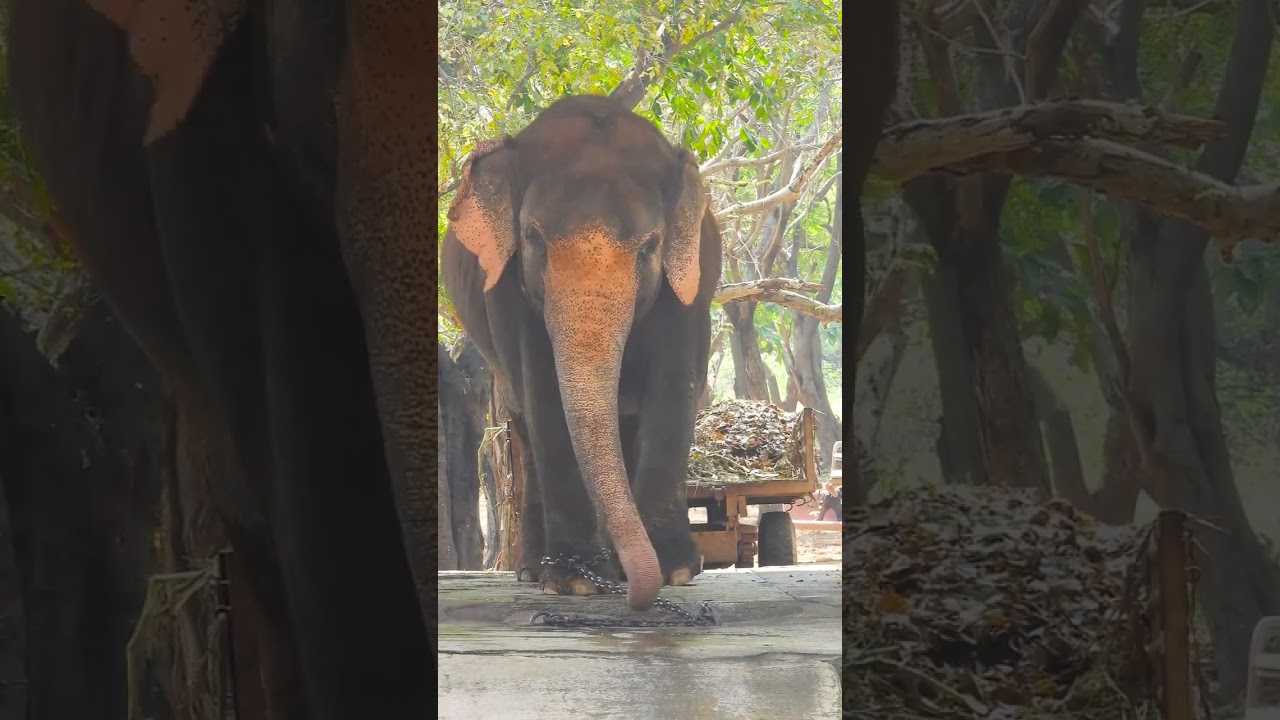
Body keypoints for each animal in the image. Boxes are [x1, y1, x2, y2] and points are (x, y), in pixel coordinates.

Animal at [442, 94, 724, 610]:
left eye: (651, 246)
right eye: (533, 237)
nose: (637, 599)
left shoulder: (693, 279)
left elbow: (674, 384)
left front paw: (673, 570)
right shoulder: (509, 291)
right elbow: (544, 393)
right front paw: (577, 582)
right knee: (525, 427)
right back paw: (535, 570)